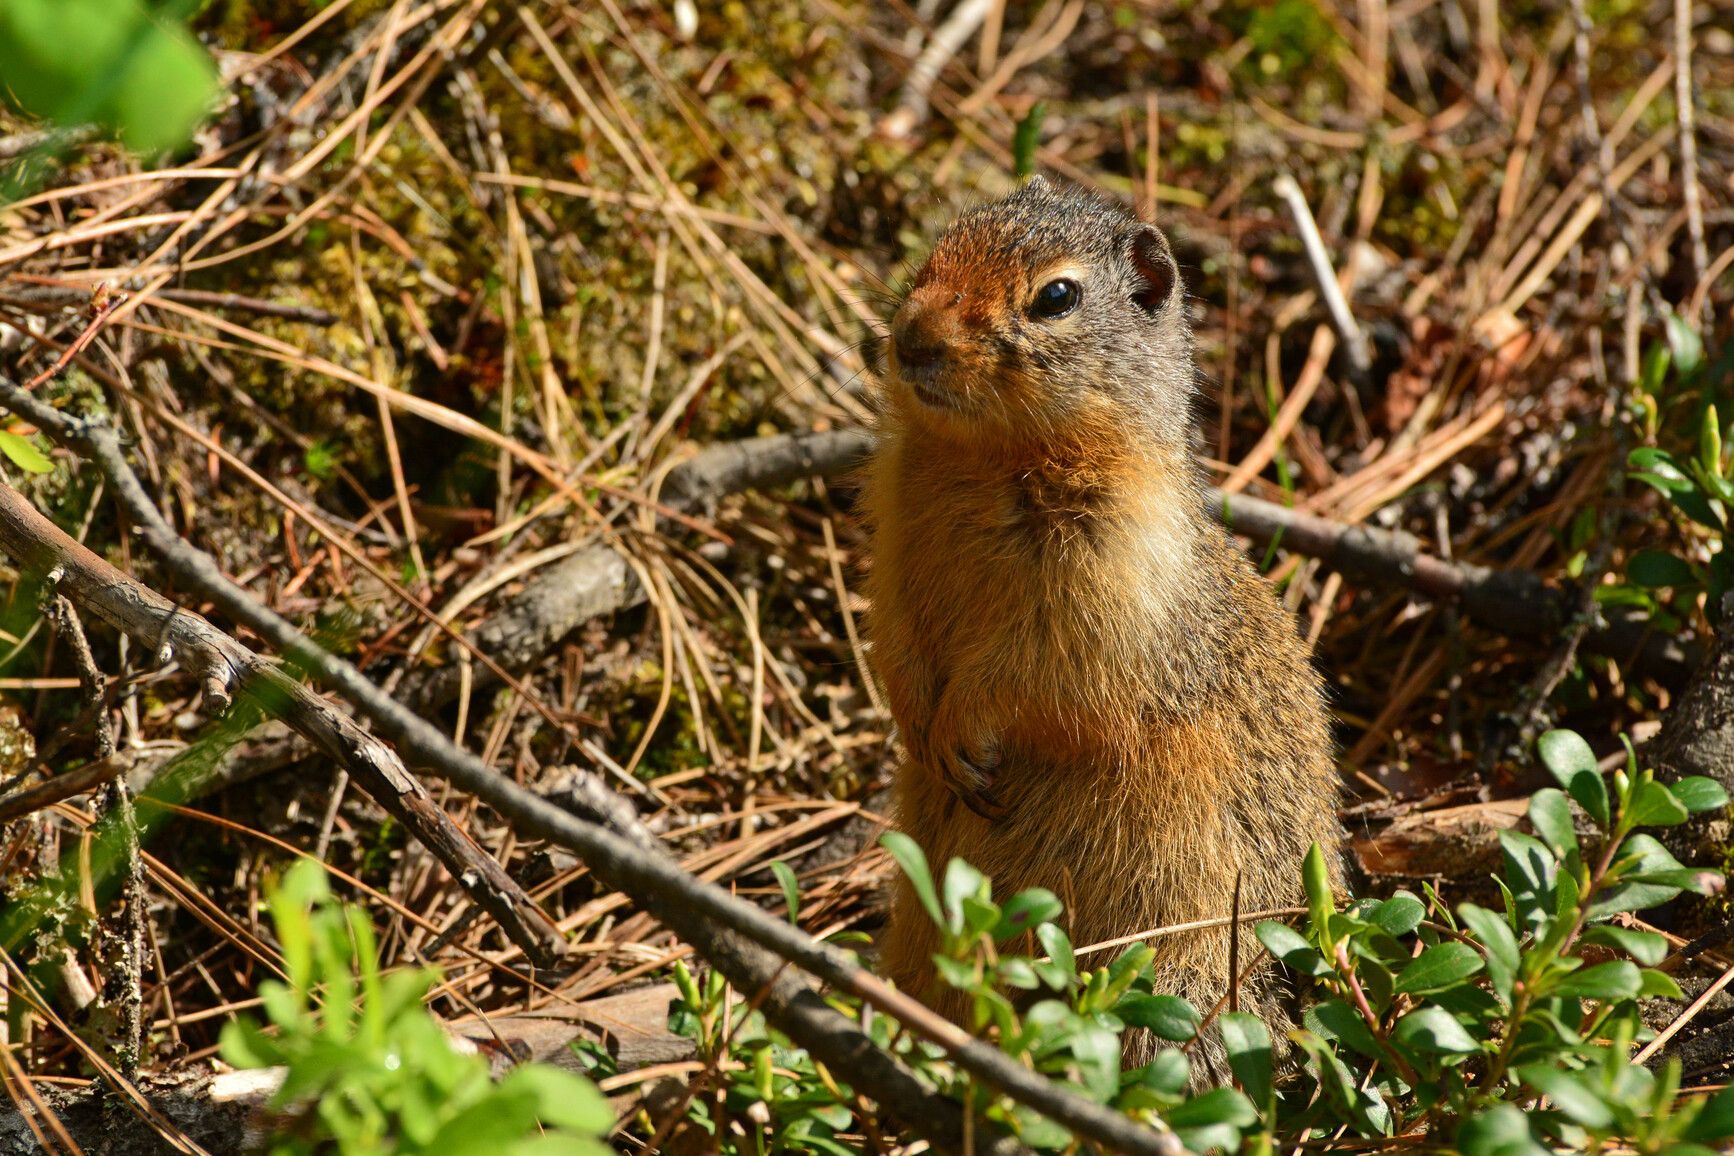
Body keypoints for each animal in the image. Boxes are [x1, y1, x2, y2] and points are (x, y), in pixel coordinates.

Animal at [862, 176, 1341, 1076]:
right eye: (941, 245)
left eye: (1057, 297)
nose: (911, 339)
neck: (988, 459)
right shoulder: (895, 553)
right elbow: (897, 647)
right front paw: (915, 728)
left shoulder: (1098, 585)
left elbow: (1028, 674)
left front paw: (958, 738)